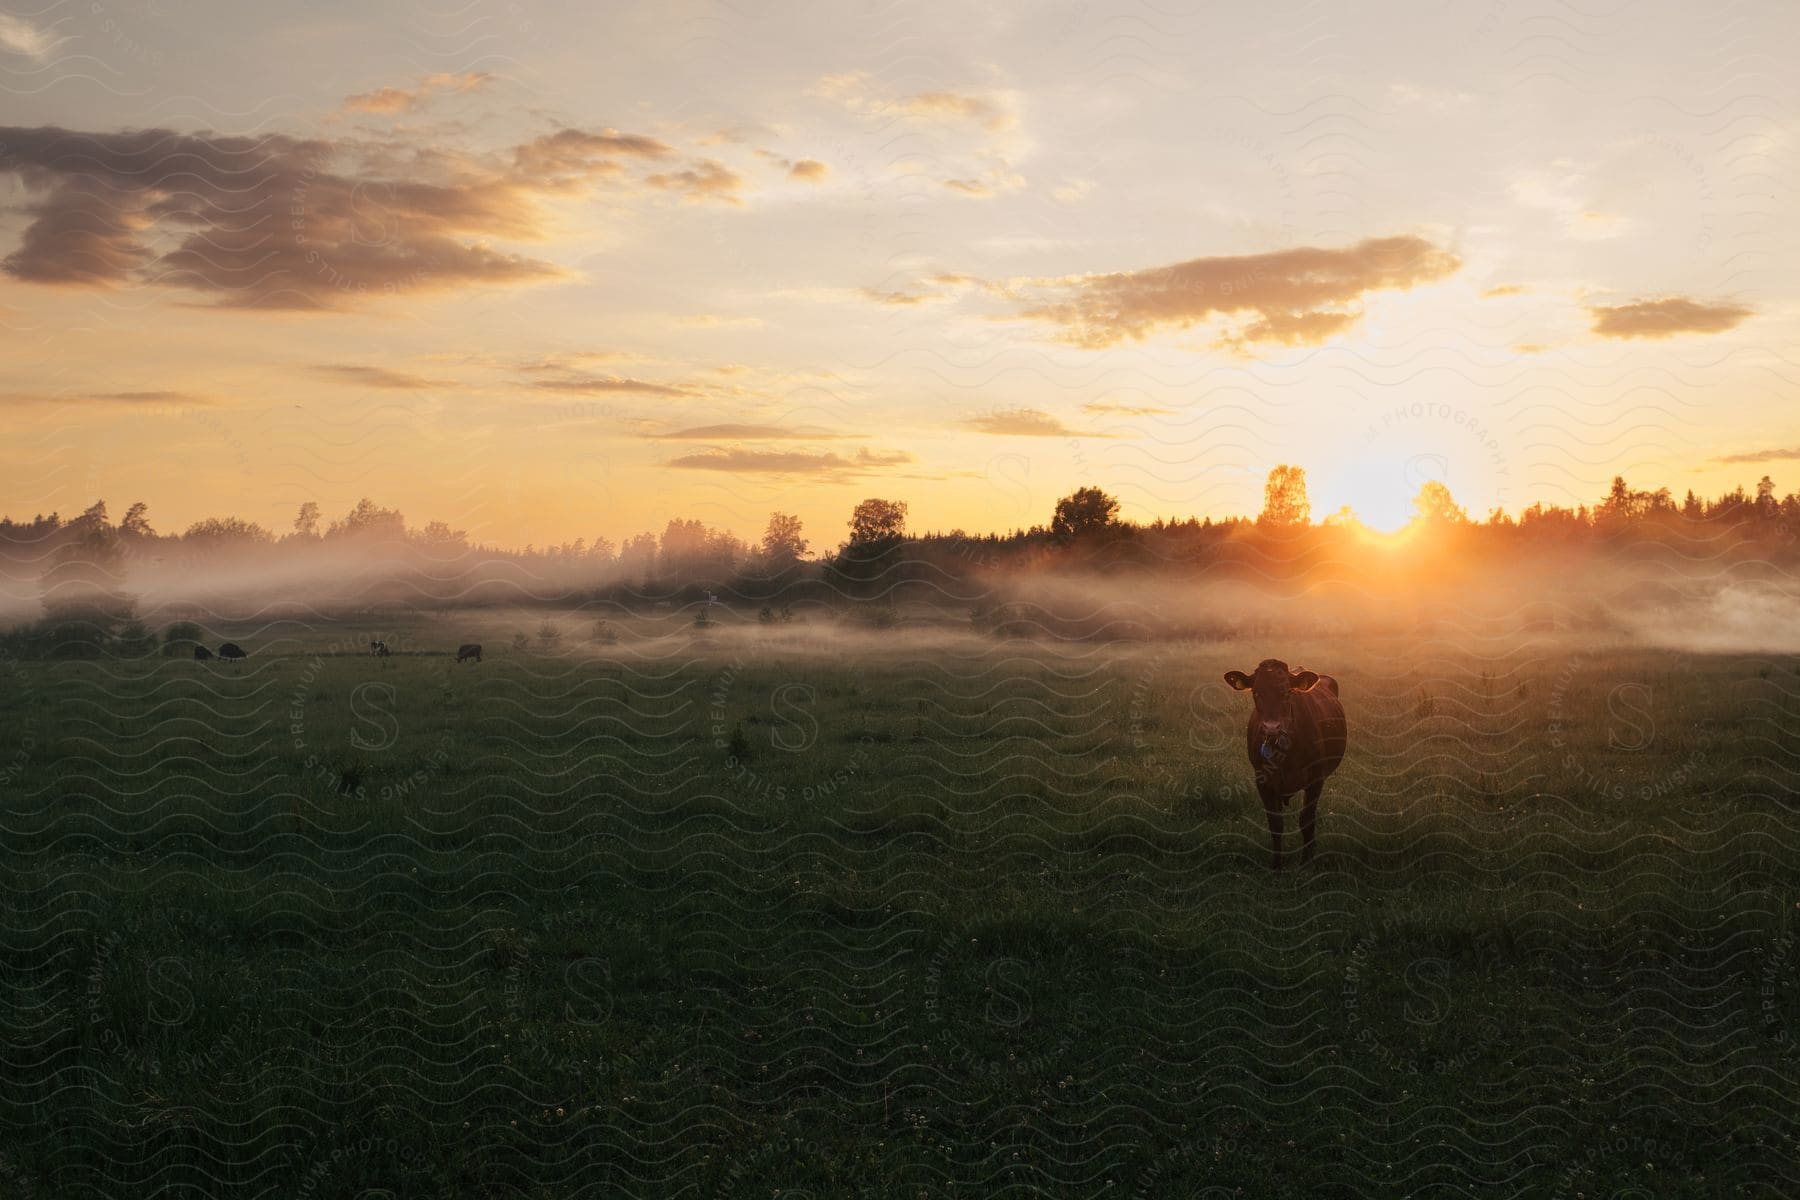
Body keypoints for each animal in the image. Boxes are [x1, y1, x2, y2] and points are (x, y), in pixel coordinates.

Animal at [1224, 658, 1353, 874]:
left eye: (1287, 693)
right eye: (1256, 693)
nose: (1271, 727)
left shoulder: (1316, 778)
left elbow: (1306, 819)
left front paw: (1306, 862)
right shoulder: (1262, 780)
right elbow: (1275, 823)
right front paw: (1277, 865)